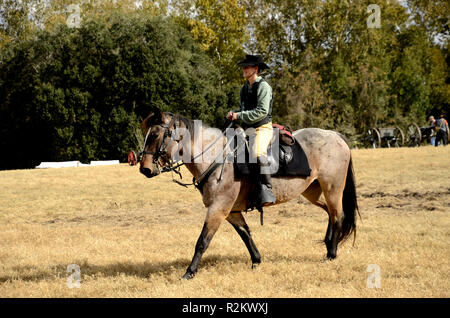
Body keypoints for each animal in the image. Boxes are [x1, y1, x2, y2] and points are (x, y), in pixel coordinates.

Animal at [139, 108, 356, 280]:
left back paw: (331, 254)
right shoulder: (232, 211)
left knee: (338, 215)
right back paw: (327, 245)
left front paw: (189, 272)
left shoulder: (218, 209)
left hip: (332, 188)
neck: (217, 159)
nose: (145, 169)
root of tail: (335, 136)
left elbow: (202, 241)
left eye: (155, 135)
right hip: (313, 191)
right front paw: (256, 261)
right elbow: (245, 234)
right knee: (330, 213)